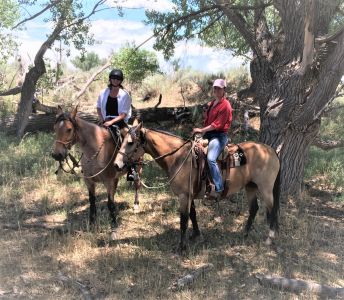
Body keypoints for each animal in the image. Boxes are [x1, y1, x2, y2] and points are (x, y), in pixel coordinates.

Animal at [114, 123, 280, 252]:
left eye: (130, 142)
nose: (116, 164)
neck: (178, 157)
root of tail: (271, 150)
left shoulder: (183, 196)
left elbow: (183, 220)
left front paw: (182, 247)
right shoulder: (189, 195)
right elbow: (192, 215)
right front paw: (196, 235)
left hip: (265, 188)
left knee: (272, 210)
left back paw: (270, 238)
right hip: (251, 186)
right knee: (254, 208)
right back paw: (244, 234)